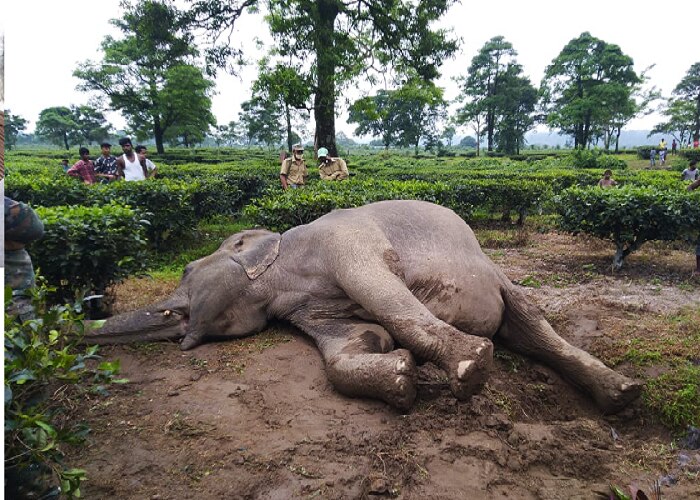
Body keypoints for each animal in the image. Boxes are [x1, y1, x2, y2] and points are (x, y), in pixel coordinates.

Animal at [90, 199, 644, 414]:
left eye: (185, 273)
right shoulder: (304, 307)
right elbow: (352, 342)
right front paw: (399, 375)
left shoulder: (345, 240)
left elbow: (383, 290)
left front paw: (470, 366)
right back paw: (620, 394)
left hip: (496, 273)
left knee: (531, 320)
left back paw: (623, 393)